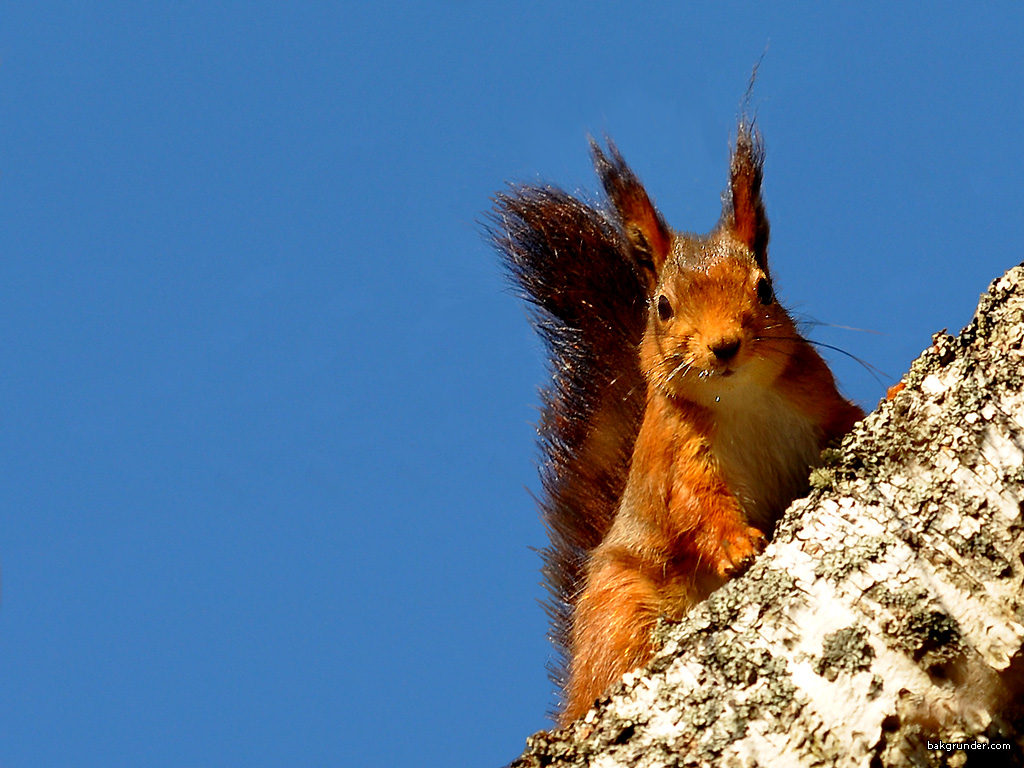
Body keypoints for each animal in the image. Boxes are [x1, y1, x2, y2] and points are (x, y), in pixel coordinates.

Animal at [487, 121, 864, 729]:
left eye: (764, 287)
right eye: (661, 307)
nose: (724, 346)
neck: (739, 399)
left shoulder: (819, 402)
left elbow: (851, 418)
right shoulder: (677, 454)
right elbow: (695, 508)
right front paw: (735, 544)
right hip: (621, 606)